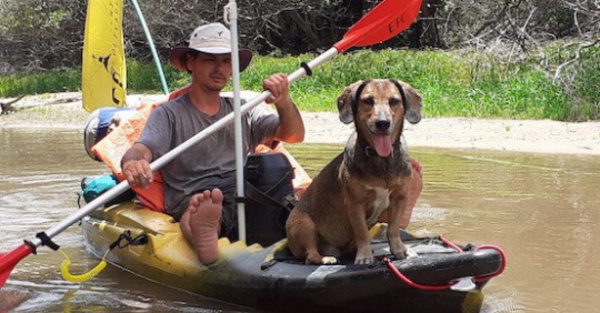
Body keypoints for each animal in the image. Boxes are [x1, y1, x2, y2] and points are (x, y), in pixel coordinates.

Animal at [286, 78, 422, 264]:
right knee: (310, 255)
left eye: (394, 101)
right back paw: (326, 258)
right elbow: (362, 232)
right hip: (303, 224)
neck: (380, 159)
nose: (382, 123)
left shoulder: (399, 198)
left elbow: (393, 229)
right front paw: (364, 256)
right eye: (368, 100)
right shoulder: (355, 204)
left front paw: (400, 250)